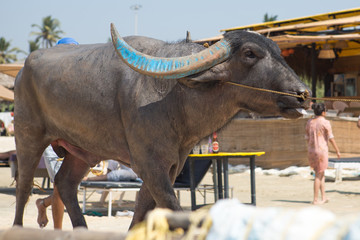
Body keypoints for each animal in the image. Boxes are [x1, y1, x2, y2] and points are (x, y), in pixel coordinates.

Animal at [11, 23, 310, 229]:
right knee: (24, 187)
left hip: (82, 151)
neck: (175, 97)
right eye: (250, 53)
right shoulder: (150, 165)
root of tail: (22, 71)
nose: (303, 93)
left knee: (65, 183)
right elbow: (175, 210)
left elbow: (143, 209)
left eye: (279, 52)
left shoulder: (170, 166)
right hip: (28, 138)